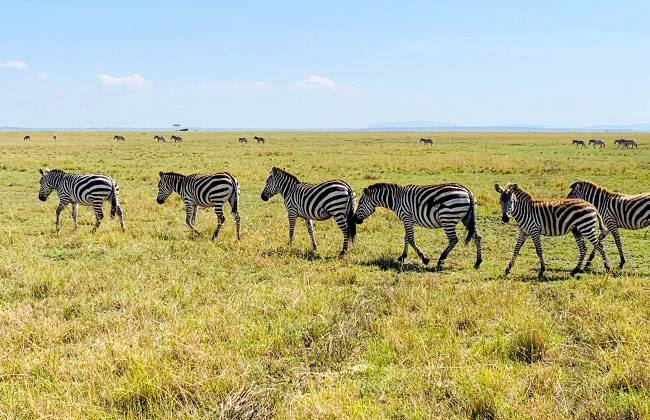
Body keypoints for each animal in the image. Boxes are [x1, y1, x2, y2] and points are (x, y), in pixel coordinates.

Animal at [350, 182, 480, 268]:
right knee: (477, 237)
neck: (396, 200)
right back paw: (478, 262)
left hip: (447, 217)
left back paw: (441, 259)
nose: (355, 219)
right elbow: (406, 238)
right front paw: (403, 256)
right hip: (467, 218)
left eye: (360, 202)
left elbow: (411, 239)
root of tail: (467, 191)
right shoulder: (409, 220)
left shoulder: (406, 217)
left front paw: (424, 259)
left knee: (454, 239)